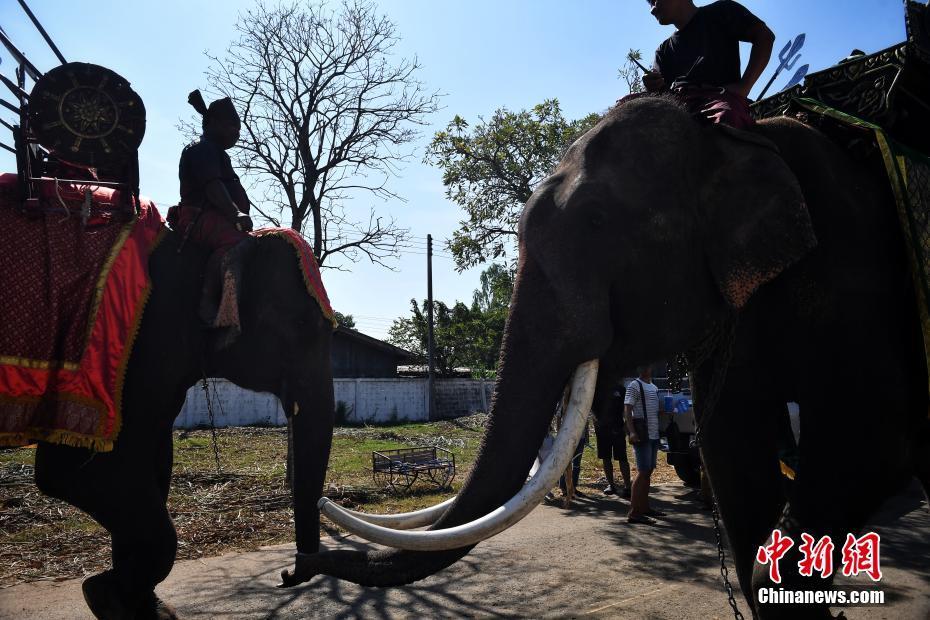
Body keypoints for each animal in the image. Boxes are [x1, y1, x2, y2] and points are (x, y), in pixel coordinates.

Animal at [34, 230, 336, 616]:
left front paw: (128, 599)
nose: (286, 575)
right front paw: (101, 592)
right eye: (302, 326)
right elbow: (75, 469)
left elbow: (154, 459)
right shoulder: (133, 349)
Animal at [282, 94, 928, 616]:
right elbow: (732, 447)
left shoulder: (857, 275)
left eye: (596, 220)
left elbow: (873, 445)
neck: (732, 140)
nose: (294, 568)